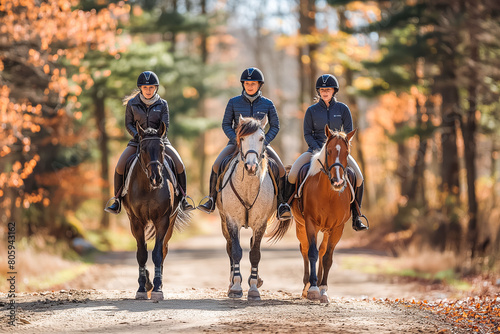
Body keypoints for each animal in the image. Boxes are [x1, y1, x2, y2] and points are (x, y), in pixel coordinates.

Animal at [122, 121, 189, 302]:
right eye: (144, 149)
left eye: (161, 148)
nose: (157, 178)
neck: (147, 187)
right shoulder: (136, 221)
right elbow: (141, 253)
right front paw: (142, 288)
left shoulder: (163, 220)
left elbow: (158, 253)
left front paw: (157, 288)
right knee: (143, 247)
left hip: (170, 223)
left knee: (164, 249)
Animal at [217, 115, 276, 300]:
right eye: (241, 138)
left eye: (262, 138)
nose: (251, 166)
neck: (248, 186)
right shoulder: (232, 221)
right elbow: (236, 251)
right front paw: (236, 287)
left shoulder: (261, 223)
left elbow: (255, 253)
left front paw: (254, 289)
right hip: (224, 222)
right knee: (229, 247)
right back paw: (231, 283)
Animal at [272, 124, 358, 302]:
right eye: (329, 151)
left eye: (347, 152)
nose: (338, 182)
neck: (330, 195)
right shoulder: (311, 223)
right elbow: (312, 253)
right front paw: (312, 289)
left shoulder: (337, 228)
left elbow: (327, 257)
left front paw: (323, 289)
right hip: (301, 226)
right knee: (304, 248)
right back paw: (306, 286)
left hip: (326, 230)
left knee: (322, 250)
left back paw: (318, 285)